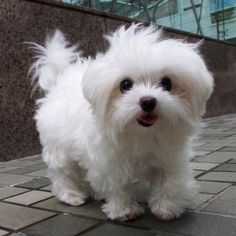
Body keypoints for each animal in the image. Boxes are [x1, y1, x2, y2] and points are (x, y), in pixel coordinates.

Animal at [29, 24, 214, 221]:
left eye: (166, 83)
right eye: (125, 84)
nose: (148, 101)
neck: (142, 134)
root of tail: (59, 83)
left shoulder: (169, 156)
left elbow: (170, 180)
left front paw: (166, 207)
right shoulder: (109, 162)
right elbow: (117, 187)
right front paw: (125, 210)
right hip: (59, 150)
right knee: (63, 174)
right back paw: (71, 196)